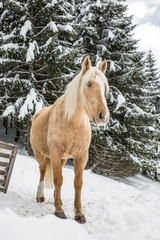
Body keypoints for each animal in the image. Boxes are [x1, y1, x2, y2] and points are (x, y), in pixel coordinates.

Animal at [30, 55, 110, 224]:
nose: (103, 116)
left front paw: (79, 213)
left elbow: (77, 184)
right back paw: (40, 196)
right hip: (41, 155)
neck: (72, 122)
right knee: (42, 172)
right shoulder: (54, 153)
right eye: (89, 83)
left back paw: (56, 198)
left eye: (105, 87)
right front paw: (59, 210)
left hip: (62, 159)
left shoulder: (81, 157)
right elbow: (58, 179)